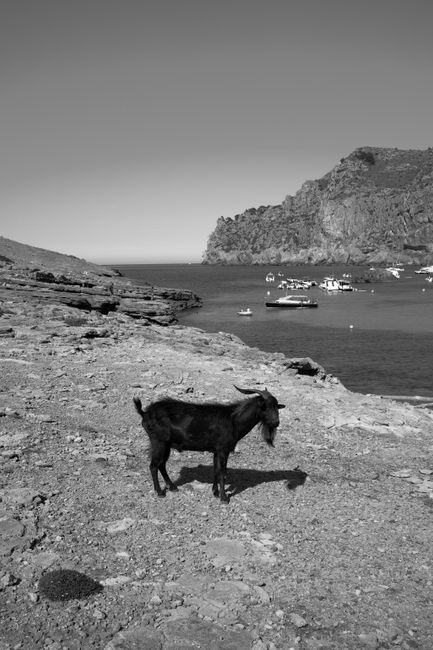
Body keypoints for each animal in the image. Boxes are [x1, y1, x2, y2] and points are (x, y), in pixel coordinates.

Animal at [133, 386, 285, 502]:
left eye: (276, 406)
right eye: (265, 407)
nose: (276, 422)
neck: (234, 420)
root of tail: (145, 412)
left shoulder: (216, 451)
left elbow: (216, 470)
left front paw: (215, 492)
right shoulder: (223, 450)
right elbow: (223, 472)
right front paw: (224, 498)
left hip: (166, 445)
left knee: (161, 465)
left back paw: (173, 487)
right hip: (159, 442)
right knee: (154, 466)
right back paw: (160, 492)